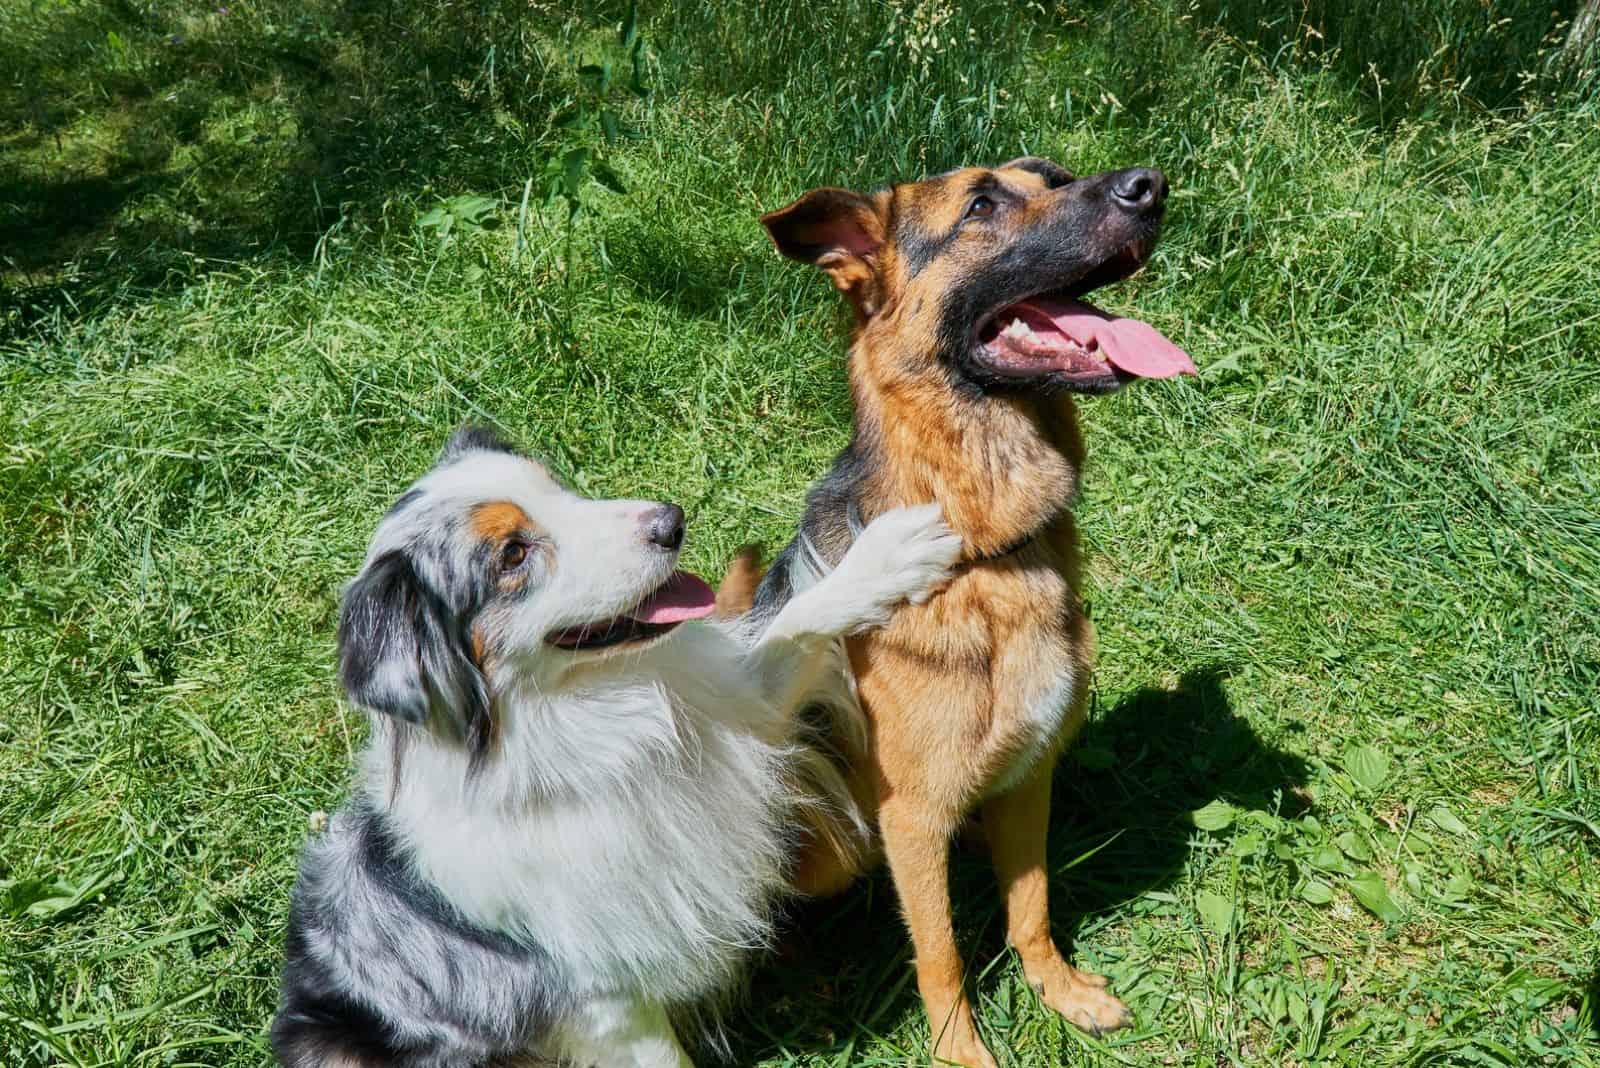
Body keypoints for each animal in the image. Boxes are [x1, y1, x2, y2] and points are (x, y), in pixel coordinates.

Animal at [732, 160, 1196, 1068]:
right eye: (981, 204)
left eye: (1052, 177)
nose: (1148, 184)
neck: (988, 549)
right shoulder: (912, 819)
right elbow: (941, 952)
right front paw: (962, 1052)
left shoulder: (1029, 777)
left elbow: (1032, 905)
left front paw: (1060, 991)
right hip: (834, 837)